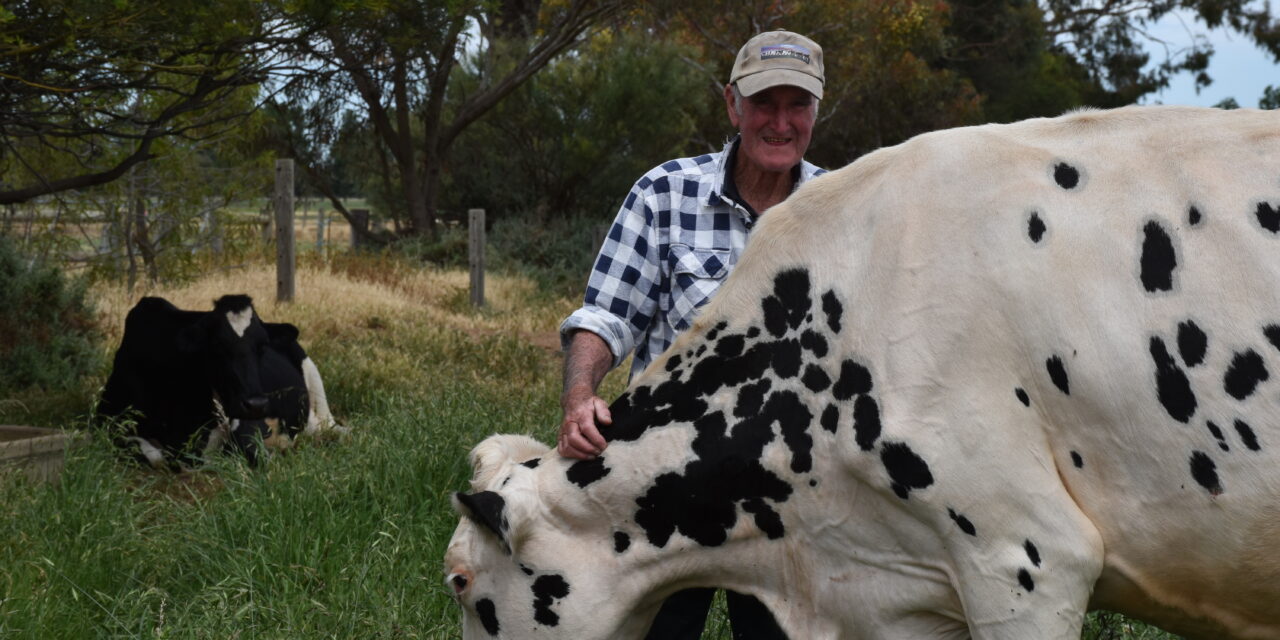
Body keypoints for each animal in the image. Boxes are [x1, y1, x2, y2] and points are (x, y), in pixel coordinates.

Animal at [97, 294, 342, 467]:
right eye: (217, 345)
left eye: (262, 345)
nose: (256, 404)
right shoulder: (105, 422)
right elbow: (155, 456)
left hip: (314, 383)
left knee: (330, 426)